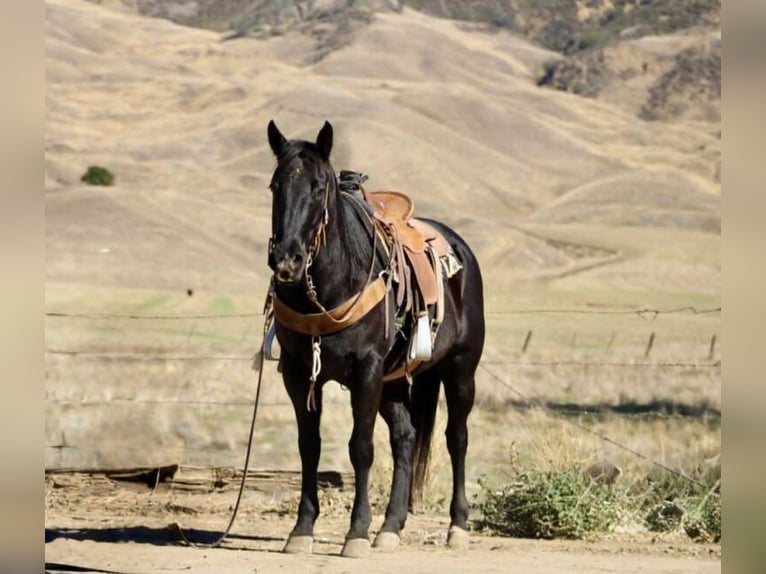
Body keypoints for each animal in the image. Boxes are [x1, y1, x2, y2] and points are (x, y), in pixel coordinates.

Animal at [265, 119, 485, 557]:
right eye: (274, 185)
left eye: (319, 186)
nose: (287, 261)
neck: (332, 284)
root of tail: (461, 250)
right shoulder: (298, 373)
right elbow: (308, 445)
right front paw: (302, 529)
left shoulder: (365, 372)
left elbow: (360, 448)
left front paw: (356, 532)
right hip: (395, 380)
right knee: (405, 437)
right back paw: (391, 527)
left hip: (459, 371)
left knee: (457, 438)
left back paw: (457, 526)